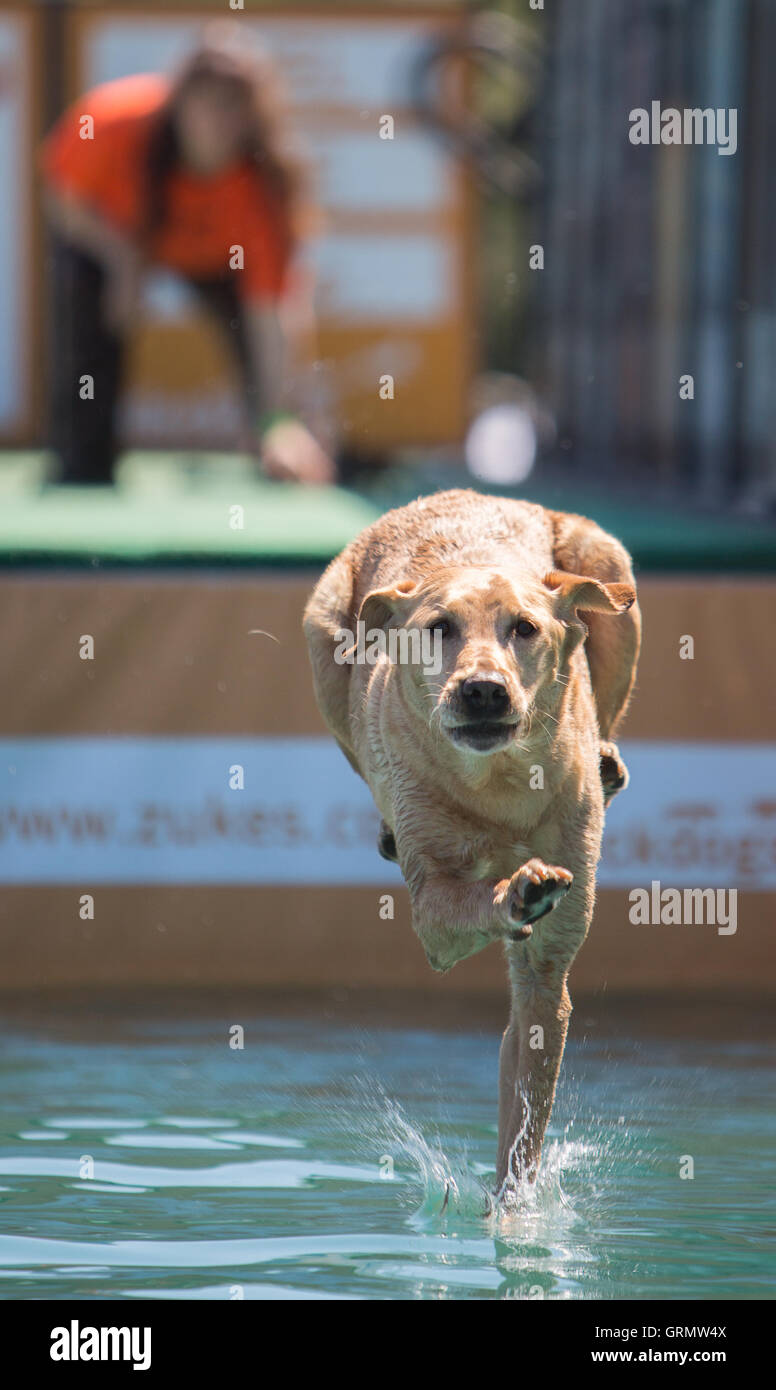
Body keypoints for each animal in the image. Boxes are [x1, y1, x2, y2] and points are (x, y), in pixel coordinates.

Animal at [301, 489, 642, 1195]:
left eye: (525, 628)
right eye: (439, 627)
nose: (483, 689)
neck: (498, 784)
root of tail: (459, 494)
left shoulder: (547, 967)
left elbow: (526, 1103)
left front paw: (514, 1204)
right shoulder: (433, 916)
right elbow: (460, 902)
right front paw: (516, 892)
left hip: (609, 569)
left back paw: (607, 762)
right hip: (324, 630)